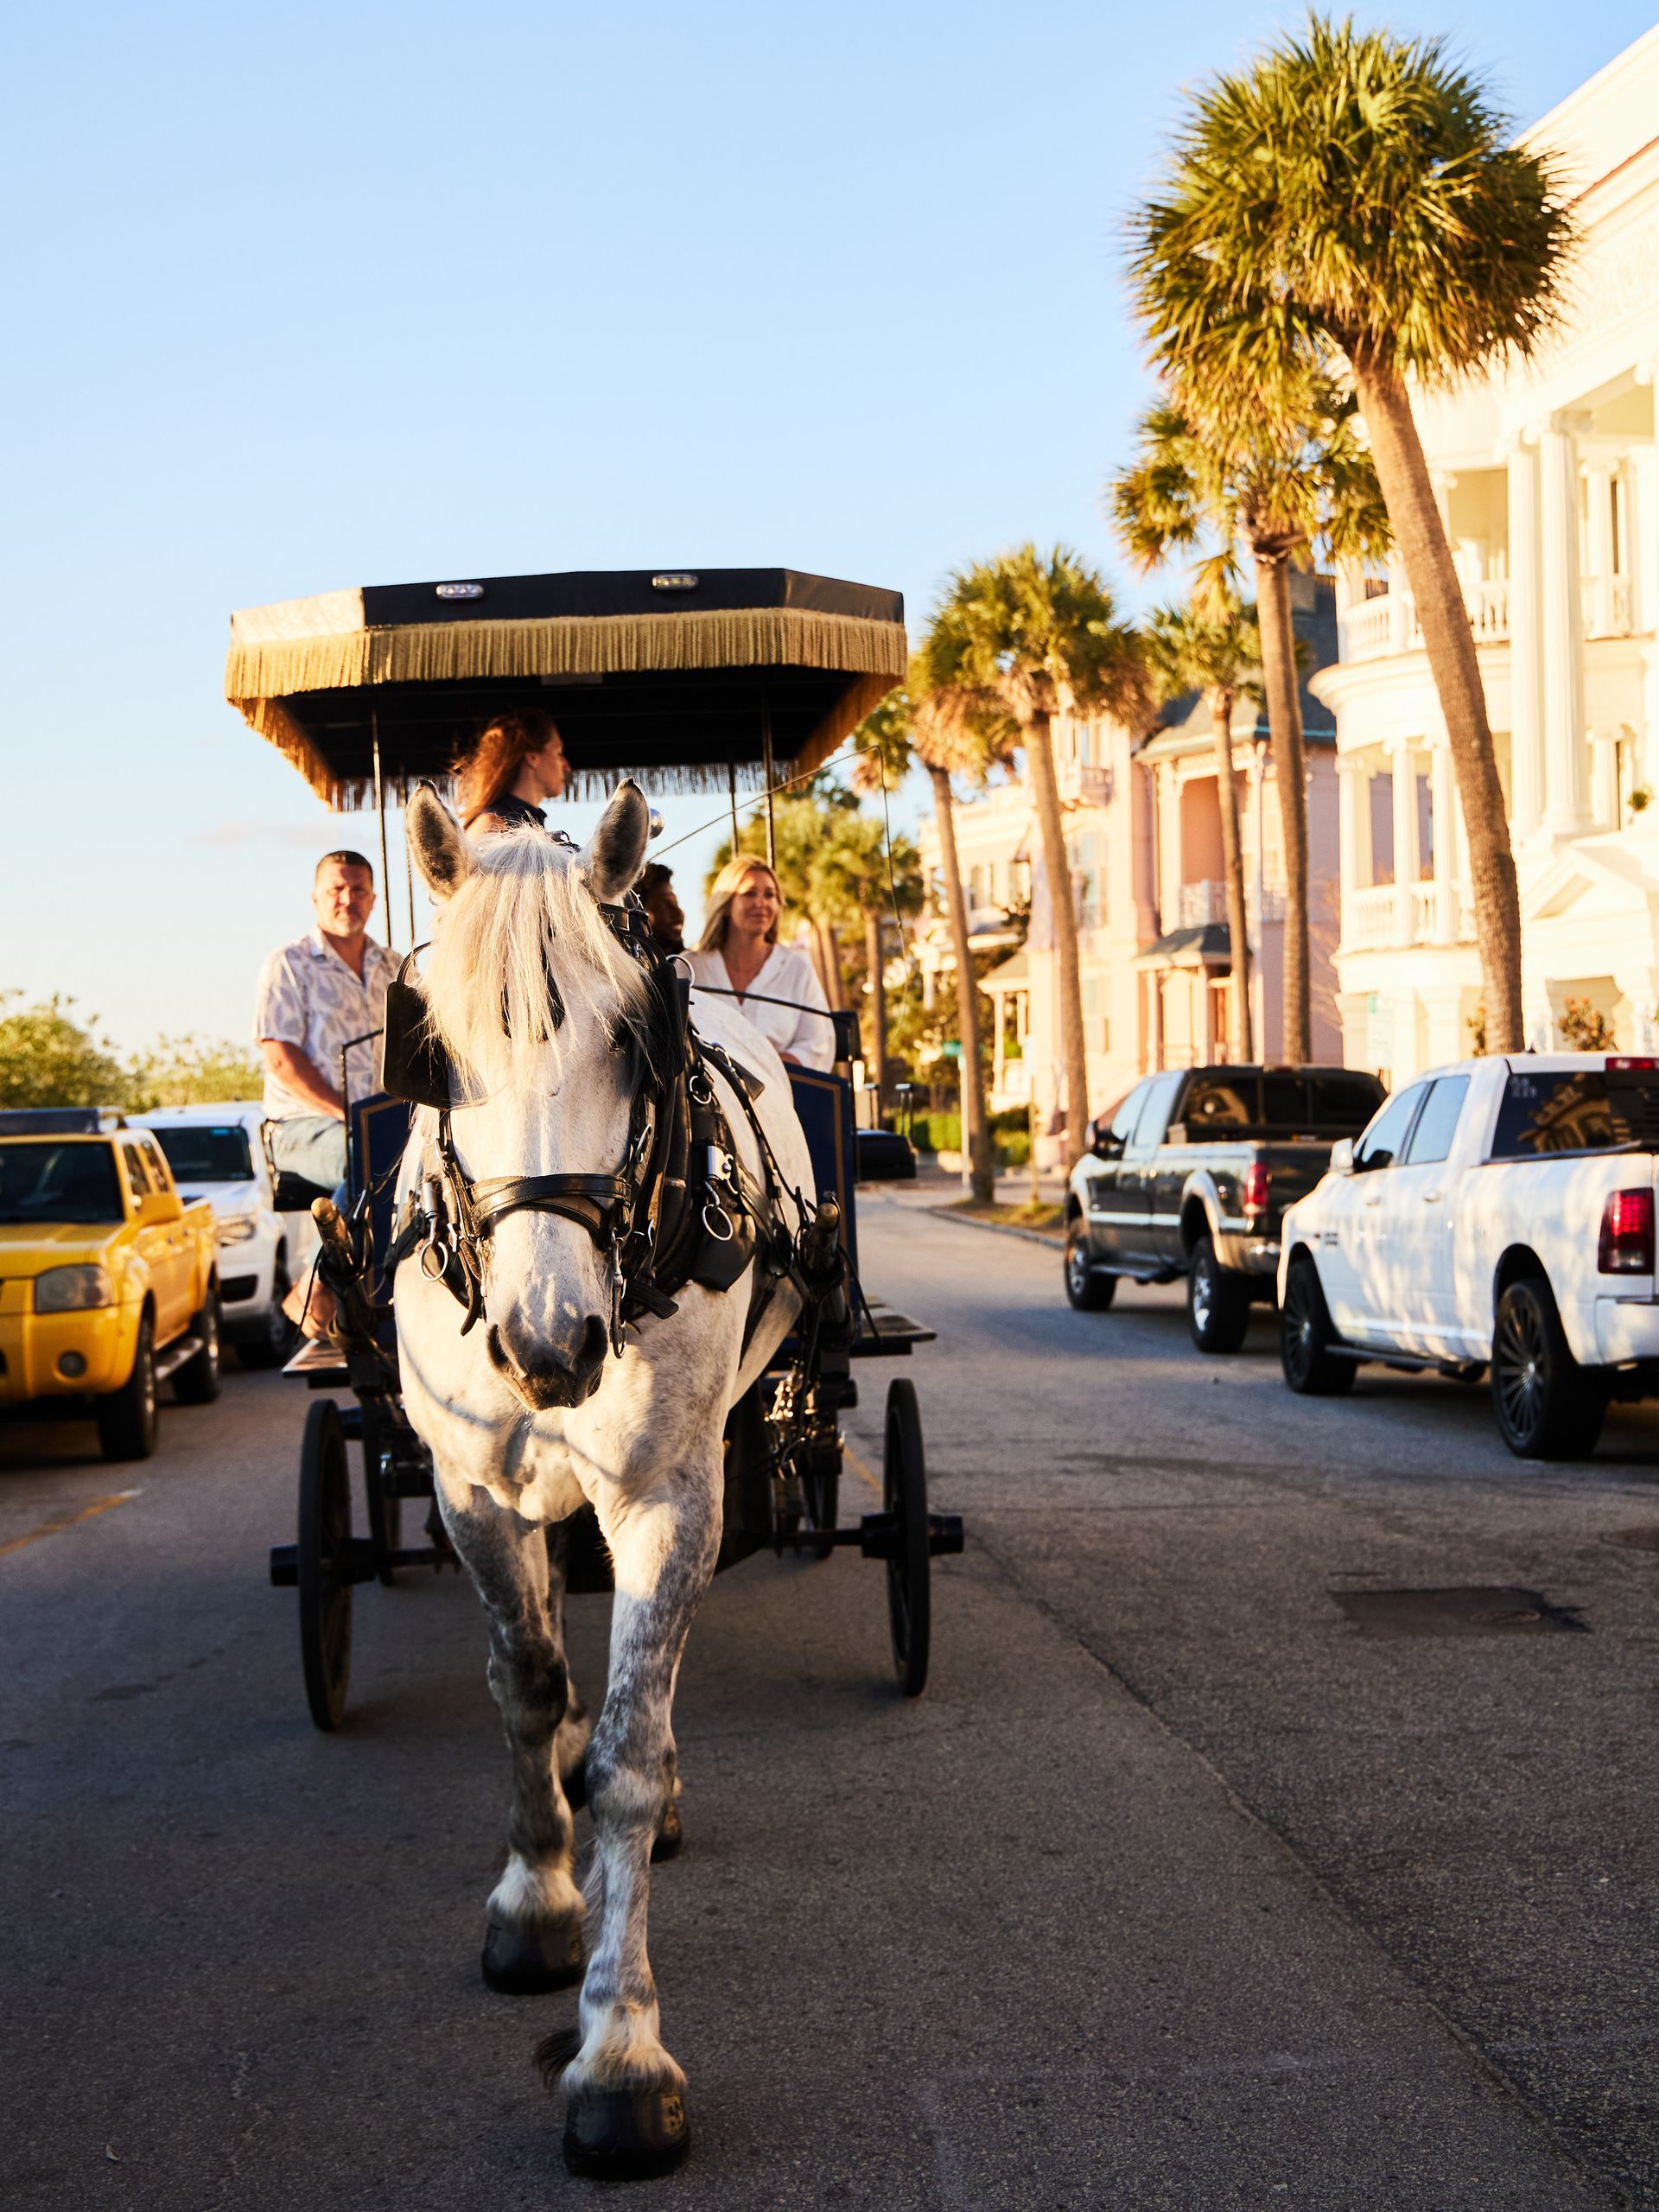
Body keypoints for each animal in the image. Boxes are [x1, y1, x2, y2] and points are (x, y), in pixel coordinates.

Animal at [394, 781, 815, 2180]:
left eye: (633, 1040)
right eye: (433, 1050)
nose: (548, 1343)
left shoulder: (671, 1495)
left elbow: (632, 1744)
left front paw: (621, 2052)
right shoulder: (467, 1485)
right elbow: (527, 1686)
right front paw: (536, 1897)